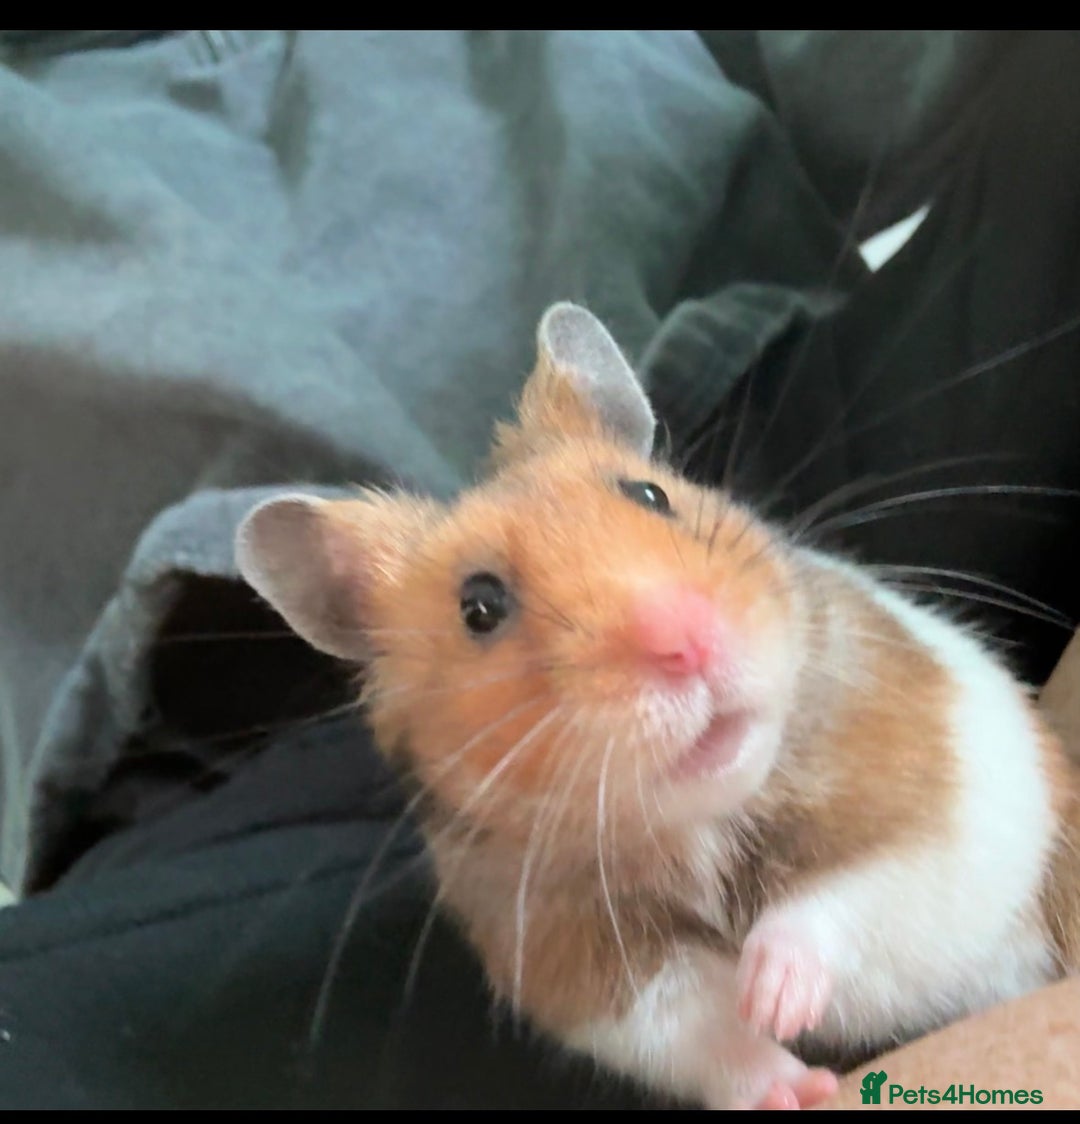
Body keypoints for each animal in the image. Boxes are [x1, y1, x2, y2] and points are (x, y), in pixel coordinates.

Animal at [235, 302, 1080, 1110]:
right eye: (479, 607)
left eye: (649, 494)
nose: (685, 641)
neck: (706, 817)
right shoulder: (580, 962)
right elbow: (696, 1026)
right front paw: (788, 1081)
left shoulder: (956, 796)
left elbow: (850, 895)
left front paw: (770, 994)